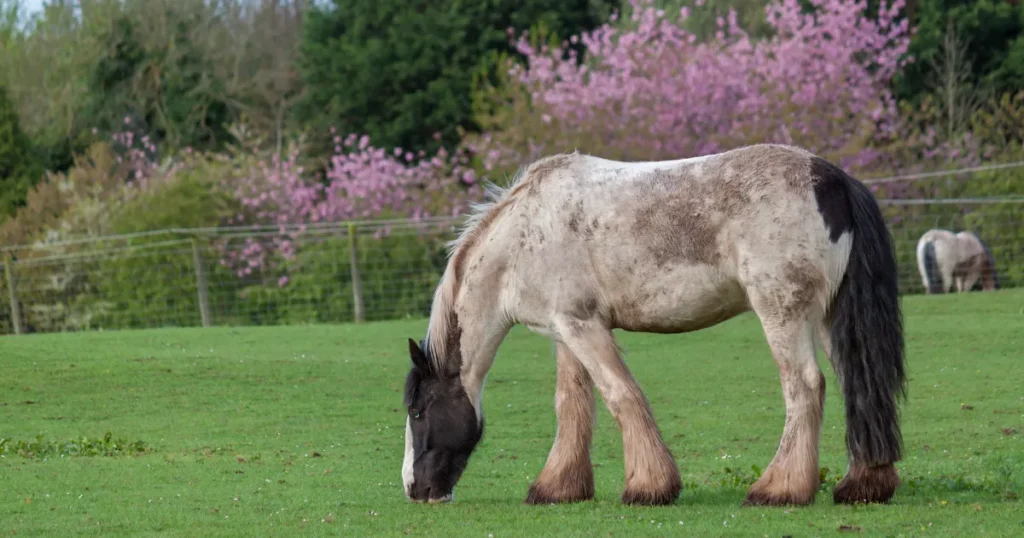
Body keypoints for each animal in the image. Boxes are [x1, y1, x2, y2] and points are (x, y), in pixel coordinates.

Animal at [399, 143, 905, 508]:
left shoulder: (582, 326)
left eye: (418, 411)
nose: (414, 489)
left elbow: (622, 396)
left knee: (805, 387)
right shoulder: (567, 331)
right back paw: (863, 486)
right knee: (857, 387)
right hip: (828, 318)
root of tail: (832, 178)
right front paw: (558, 487)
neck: (523, 235)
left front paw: (648, 487)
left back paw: (779, 490)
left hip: (782, 312)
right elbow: (572, 406)